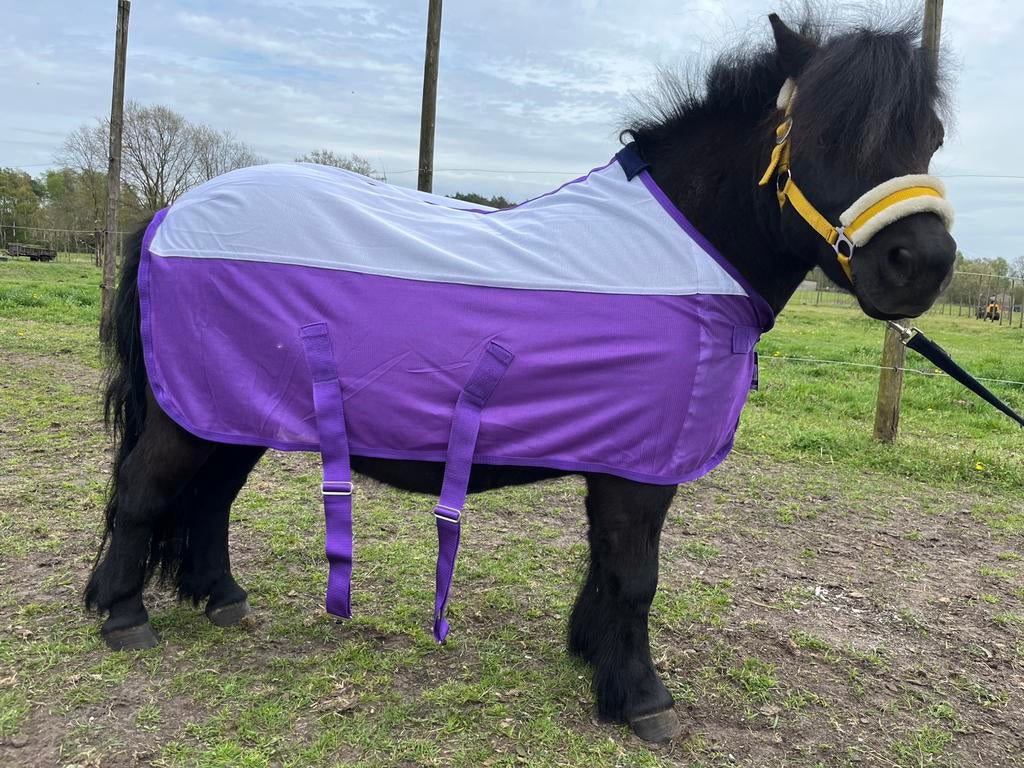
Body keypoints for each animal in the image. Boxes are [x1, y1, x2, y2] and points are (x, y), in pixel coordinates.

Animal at [85, 13, 956, 743]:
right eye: (827, 132)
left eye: (933, 136)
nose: (921, 264)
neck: (680, 251)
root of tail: (169, 215)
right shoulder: (639, 470)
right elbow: (635, 575)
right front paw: (644, 699)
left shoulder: (620, 456)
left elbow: (608, 566)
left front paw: (595, 658)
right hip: (186, 417)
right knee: (144, 494)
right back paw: (124, 617)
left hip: (230, 412)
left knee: (208, 499)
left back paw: (222, 598)